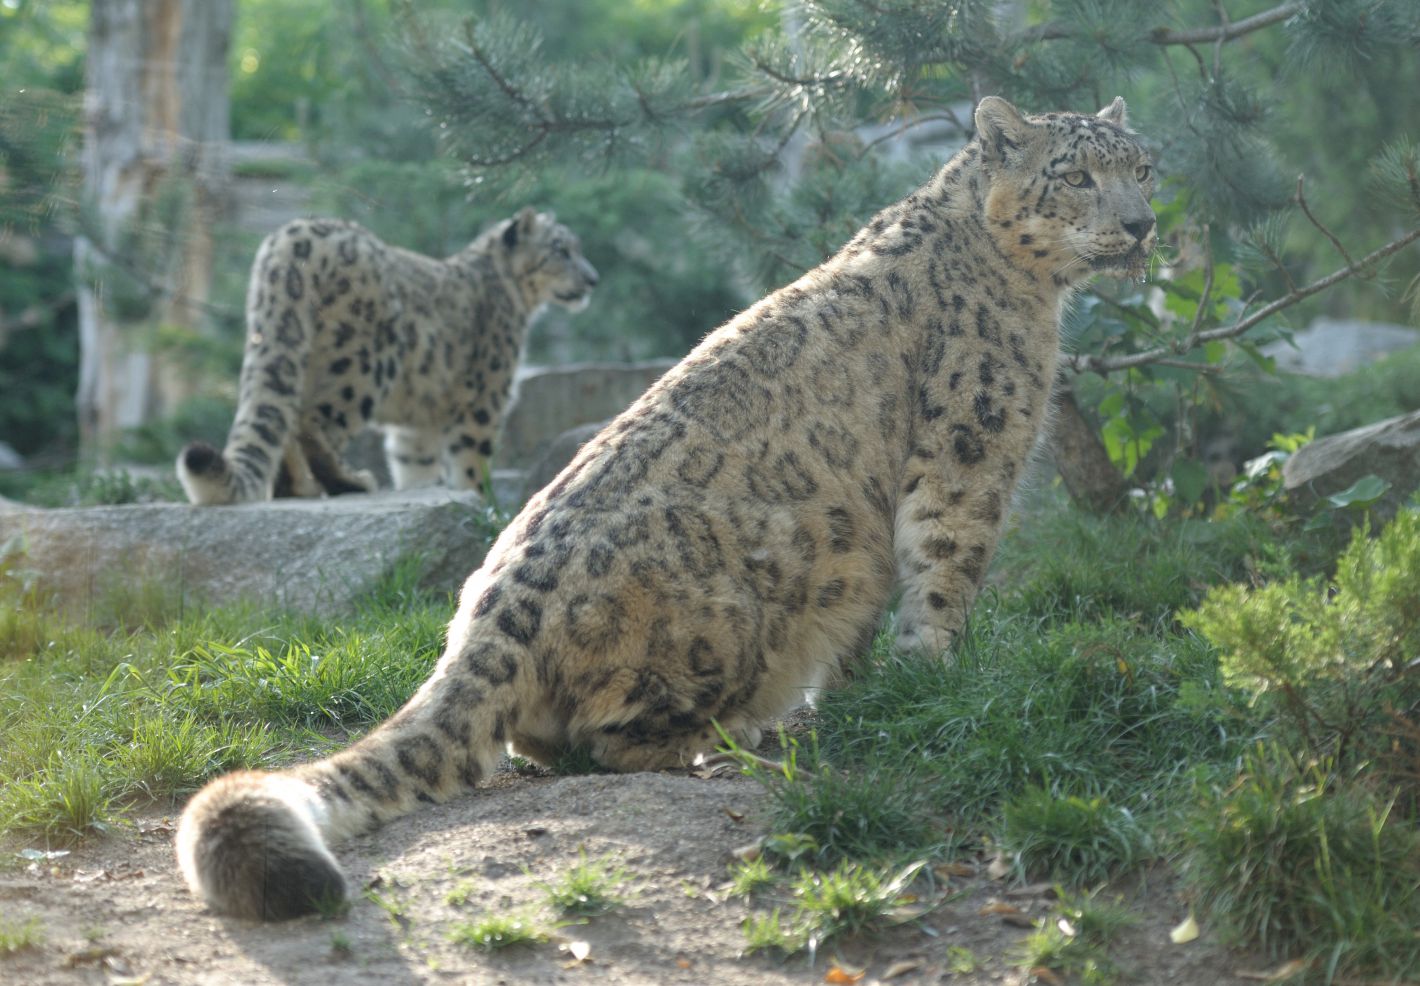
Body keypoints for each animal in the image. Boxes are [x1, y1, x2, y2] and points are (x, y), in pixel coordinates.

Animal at [177, 206, 599, 505]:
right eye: (560, 249)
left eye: (578, 248)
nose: (593, 278)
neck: (518, 298)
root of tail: (291, 238)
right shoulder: (482, 404)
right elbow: (471, 465)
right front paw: (483, 504)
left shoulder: (416, 428)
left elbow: (415, 466)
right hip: (362, 363)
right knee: (312, 423)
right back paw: (350, 481)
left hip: (298, 354)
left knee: (287, 418)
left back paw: (300, 489)